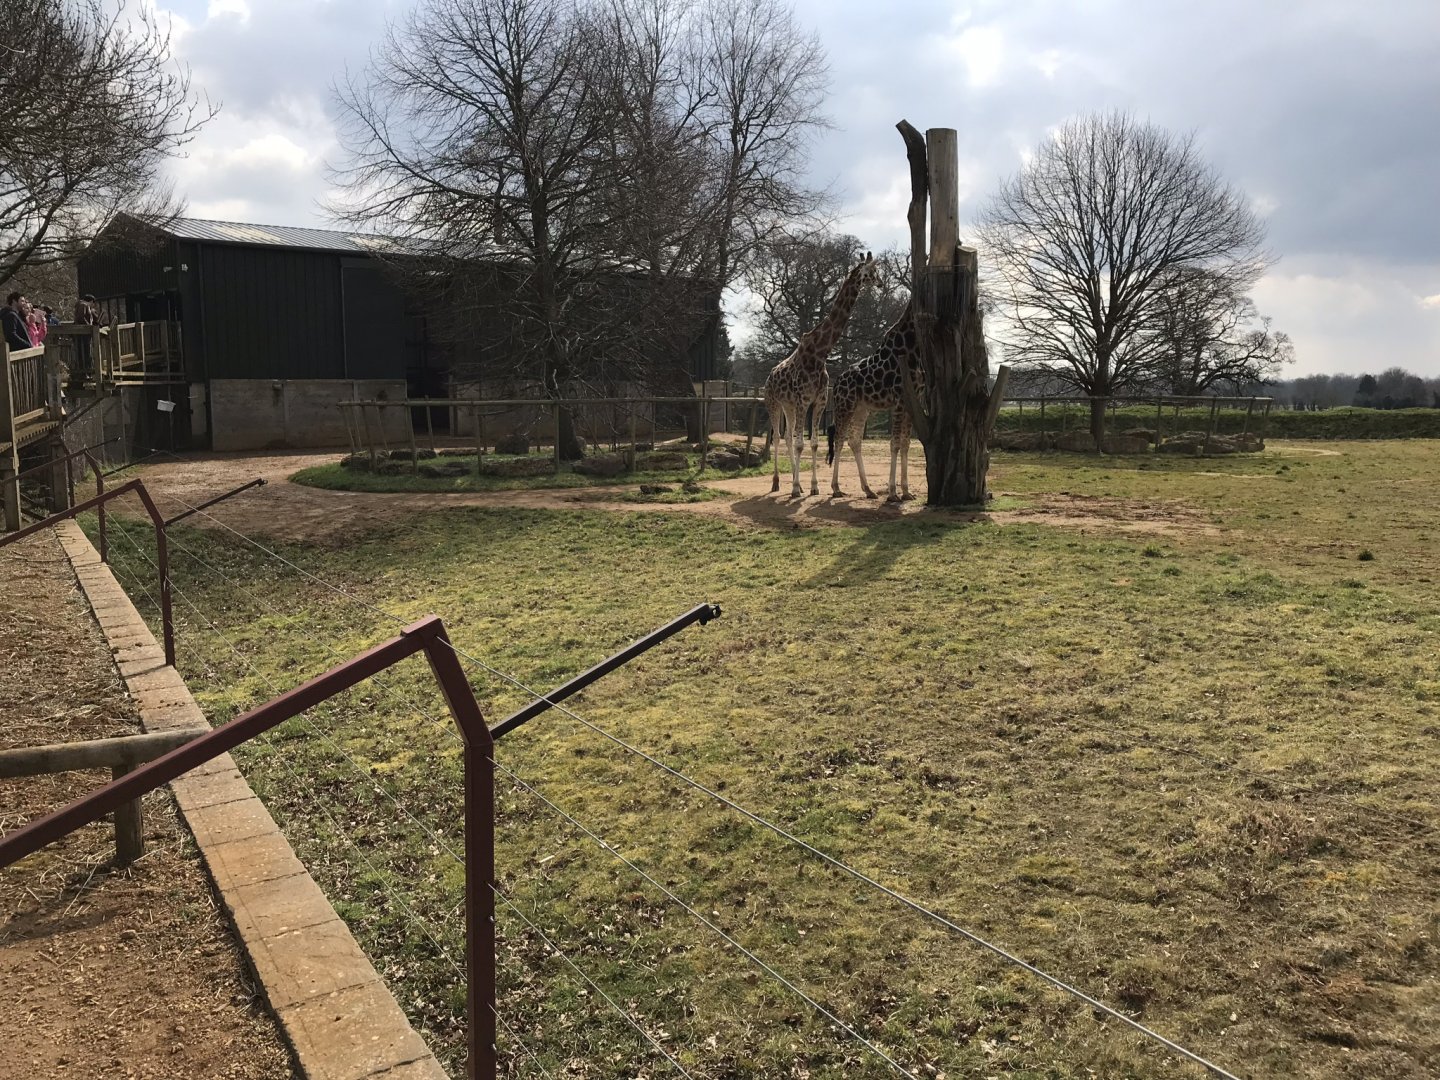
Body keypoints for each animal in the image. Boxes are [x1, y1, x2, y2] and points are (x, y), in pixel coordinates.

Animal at [765, 253, 878, 497]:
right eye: (870, 273)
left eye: (877, 273)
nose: (881, 283)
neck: (819, 354)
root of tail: (770, 376)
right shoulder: (802, 400)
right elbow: (801, 443)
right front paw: (796, 489)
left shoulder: (818, 401)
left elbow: (813, 443)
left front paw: (813, 487)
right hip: (773, 402)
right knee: (778, 437)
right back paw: (777, 482)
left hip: (788, 405)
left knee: (787, 437)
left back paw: (792, 482)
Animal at [826, 305, 925, 501]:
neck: (911, 346)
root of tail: (836, 383)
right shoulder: (898, 400)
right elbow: (895, 444)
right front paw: (893, 492)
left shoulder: (912, 401)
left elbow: (905, 444)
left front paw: (906, 492)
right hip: (844, 406)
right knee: (839, 439)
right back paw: (836, 488)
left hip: (861, 409)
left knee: (854, 440)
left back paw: (868, 489)